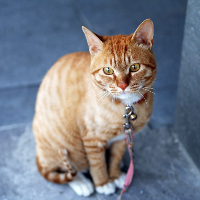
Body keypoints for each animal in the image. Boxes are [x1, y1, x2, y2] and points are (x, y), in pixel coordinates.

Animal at [32, 19, 156, 196]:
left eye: (134, 67)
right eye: (108, 70)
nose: (122, 85)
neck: (126, 107)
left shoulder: (122, 137)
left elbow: (116, 156)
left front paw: (115, 174)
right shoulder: (91, 139)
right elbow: (97, 164)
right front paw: (103, 182)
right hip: (65, 146)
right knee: (67, 169)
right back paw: (82, 183)